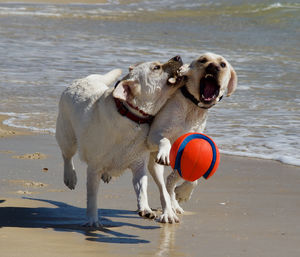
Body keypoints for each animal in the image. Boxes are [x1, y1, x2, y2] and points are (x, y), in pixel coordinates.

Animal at [55, 56, 184, 226]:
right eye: (156, 67)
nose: (178, 57)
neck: (131, 116)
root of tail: (83, 79)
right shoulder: (94, 168)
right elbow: (92, 198)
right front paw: (92, 220)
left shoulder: (138, 165)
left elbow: (142, 189)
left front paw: (145, 209)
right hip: (67, 136)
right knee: (66, 155)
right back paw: (70, 176)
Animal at [146, 52, 238, 222]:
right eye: (203, 60)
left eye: (223, 65)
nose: (213, 67)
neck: (193, 107)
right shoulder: (153, 136)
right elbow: (165, 140)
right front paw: (165, 151)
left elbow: (193, 177)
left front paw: (183, 193)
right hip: (154, 165)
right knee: (164, 186)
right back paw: (168, 211)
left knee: (169, 183)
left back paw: (175, 204)